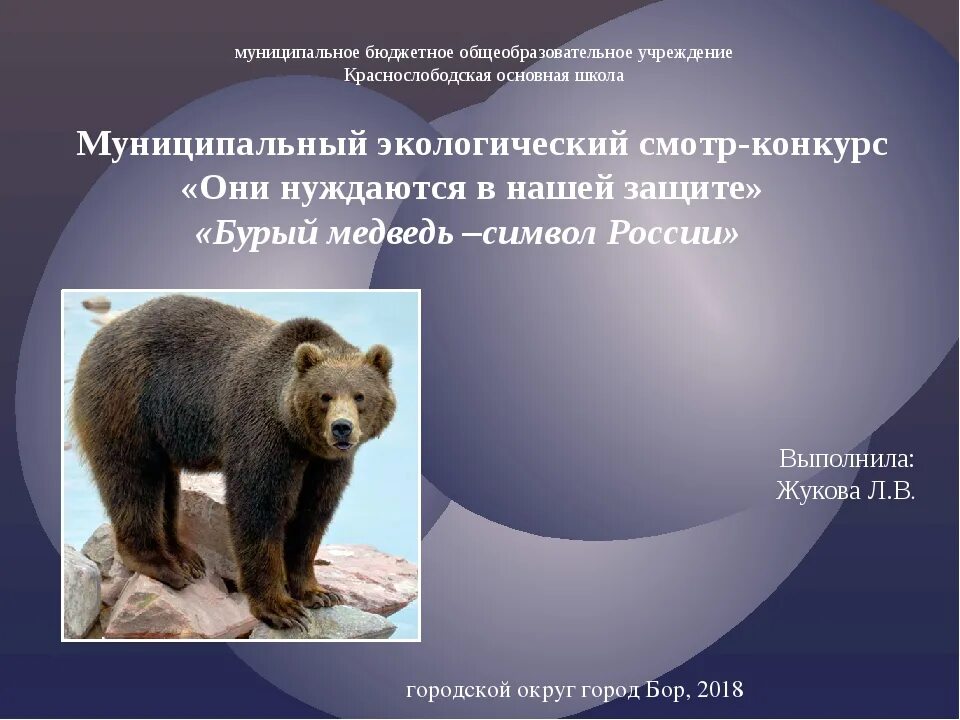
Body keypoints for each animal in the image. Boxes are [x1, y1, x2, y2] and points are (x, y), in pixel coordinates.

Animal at [71, 294, 396, 629]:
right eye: (325, 396)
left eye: (359, 395)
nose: (341, 427)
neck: (298, 436)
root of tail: (100, 336)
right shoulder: (263, 435)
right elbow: (258, 509)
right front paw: (280, 608)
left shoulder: (326, 463)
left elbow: (313, 514)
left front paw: (318, 592)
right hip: (127, 402)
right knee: (133, 479)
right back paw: (165, 566)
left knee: (165, 486)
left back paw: (186, 557)